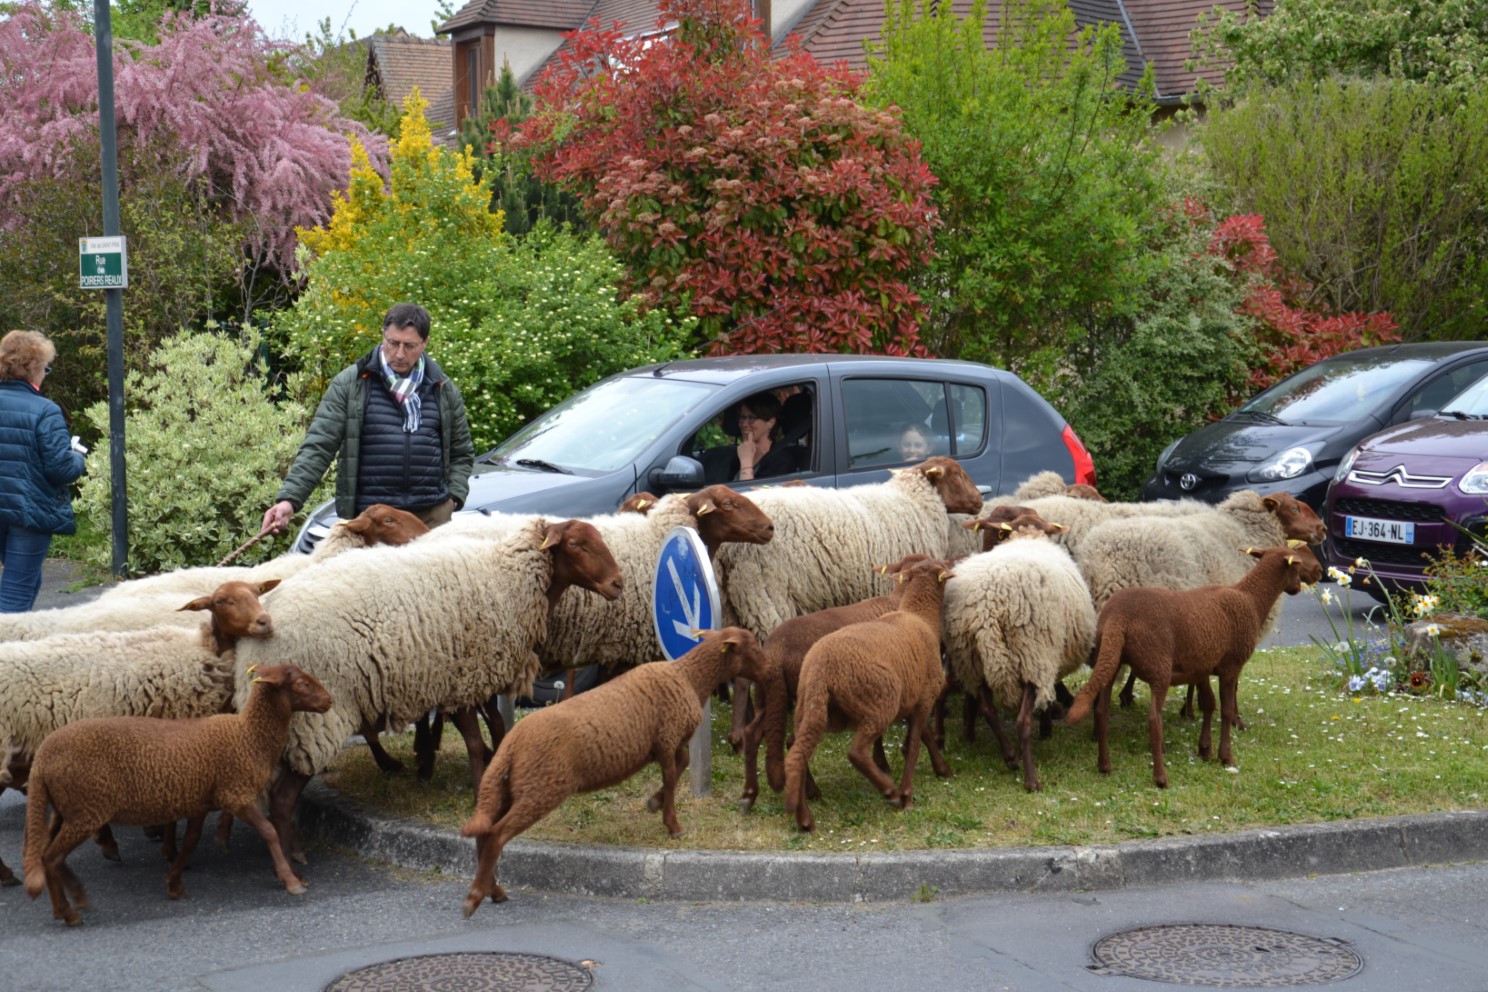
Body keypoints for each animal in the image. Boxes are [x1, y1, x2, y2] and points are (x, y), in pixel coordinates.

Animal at [23, 663, 331, 928]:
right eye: (302, 683)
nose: (329, 700)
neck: (249, 736)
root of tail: (41, 759)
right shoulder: (235, 794)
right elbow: (269, 831)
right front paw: (291, 881)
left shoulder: (201, 801)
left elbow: (191, 842)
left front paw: (174, 883)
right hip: (86, 810)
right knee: (51, 858)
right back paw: (68, 911)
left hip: (66, 809)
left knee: (49, 855)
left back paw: (73, 899)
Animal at [458, 627, 785, 916]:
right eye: (753, 647)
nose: (773, 671)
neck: (689, 677)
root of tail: (510, 744)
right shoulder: (667, 738)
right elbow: (672, 777)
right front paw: (673, 825)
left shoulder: (664, 743)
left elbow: (682, 764)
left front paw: (654, 803)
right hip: (540, 790)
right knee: (496, 835)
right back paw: (474, 898)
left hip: (508, 789)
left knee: (484, 836)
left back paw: (494, 891)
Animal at [791, 559, 952, 832]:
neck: (920, 615)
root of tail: (822, 667)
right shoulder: (924, 698)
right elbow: (914, 746)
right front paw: (907, 796)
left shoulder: (911, 699)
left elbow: (925, 736)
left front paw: (941, 768)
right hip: (879, 701)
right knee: (856, 752)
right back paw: (890, 792)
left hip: (812, 705)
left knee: (797, 751)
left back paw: (804, 818)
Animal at [1065, 547, 1321, 785]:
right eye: (1298, 566)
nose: (1304, 583)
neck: (1251, 598)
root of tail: (1117, 617)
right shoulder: (1231, 666)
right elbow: (1227, 710)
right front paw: (1225, 756)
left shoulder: (1202, 668)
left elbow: (1208, 704)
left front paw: (1205, 750)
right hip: (1159, 667)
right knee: (1154, 718)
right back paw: (1160, 778)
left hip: (1110, 658)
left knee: (1101, 711)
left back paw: (1104, 766)